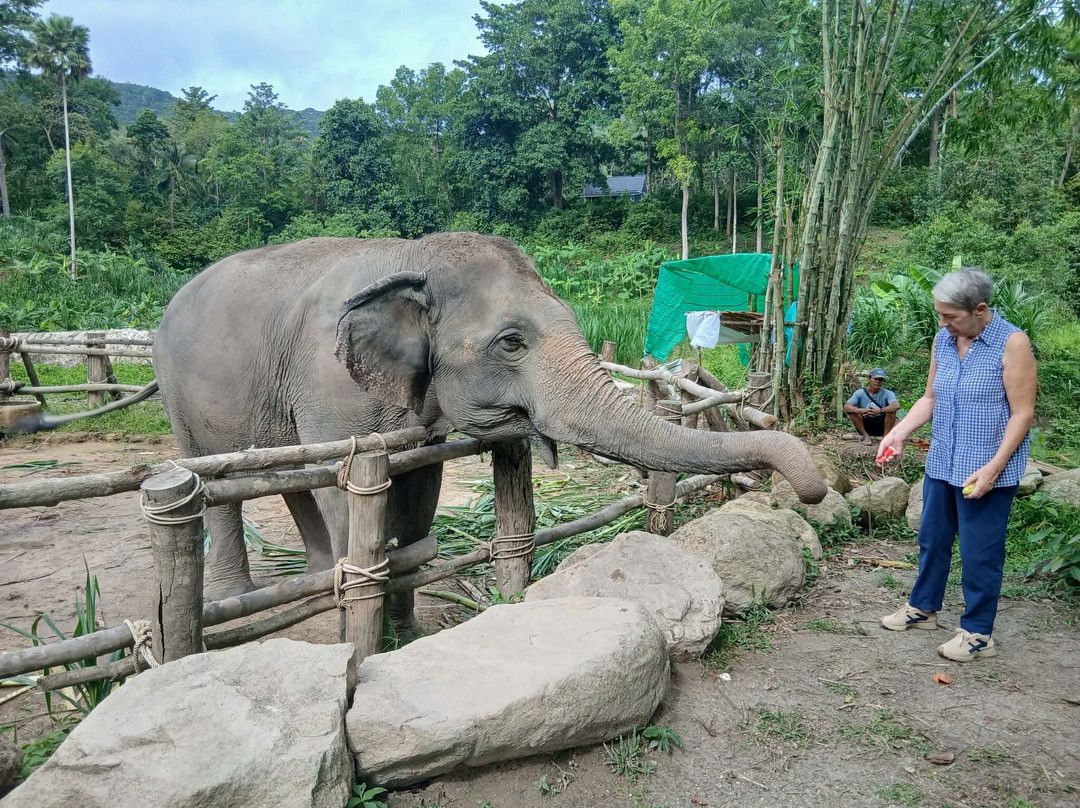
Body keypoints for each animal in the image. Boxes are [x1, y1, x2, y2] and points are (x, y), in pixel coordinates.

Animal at [26, 232, 828, 620]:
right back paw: (241, 593)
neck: (412, 255)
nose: (812, 488)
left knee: (287, 477)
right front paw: (369, 631)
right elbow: (354, 492)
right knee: (222, 478)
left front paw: (403, 628)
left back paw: (314, 578)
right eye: (512, 341)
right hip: (181, 401)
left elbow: (421, 491)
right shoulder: (330, 383)